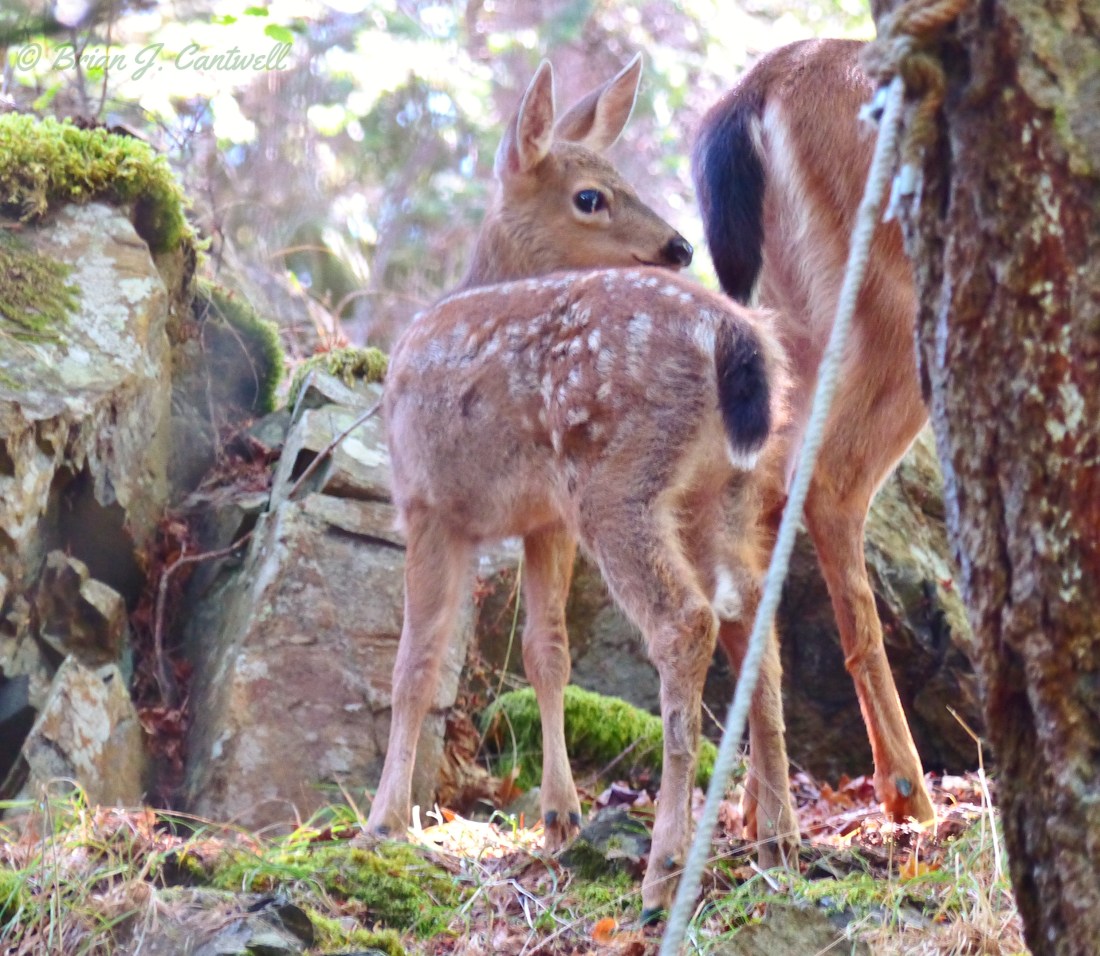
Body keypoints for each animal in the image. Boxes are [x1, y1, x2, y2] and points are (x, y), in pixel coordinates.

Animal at [364, 56, 799, 918]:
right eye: (592, 195)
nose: (678, 244)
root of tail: (736, 337)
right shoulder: (543, 519)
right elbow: (547, 652)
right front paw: (559, 816)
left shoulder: (428, 502)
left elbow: (415, 663)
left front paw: (384, 821)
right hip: (725, 492)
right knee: (752, 615)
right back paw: (779, 836)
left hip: (619, 482)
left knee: (686, 623)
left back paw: (665, 867)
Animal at [692, 37, 937, 827]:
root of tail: (758, 86)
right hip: (889, 299)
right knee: (826, 483)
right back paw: (907, 792)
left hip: (789, 315)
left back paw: (762, 810)